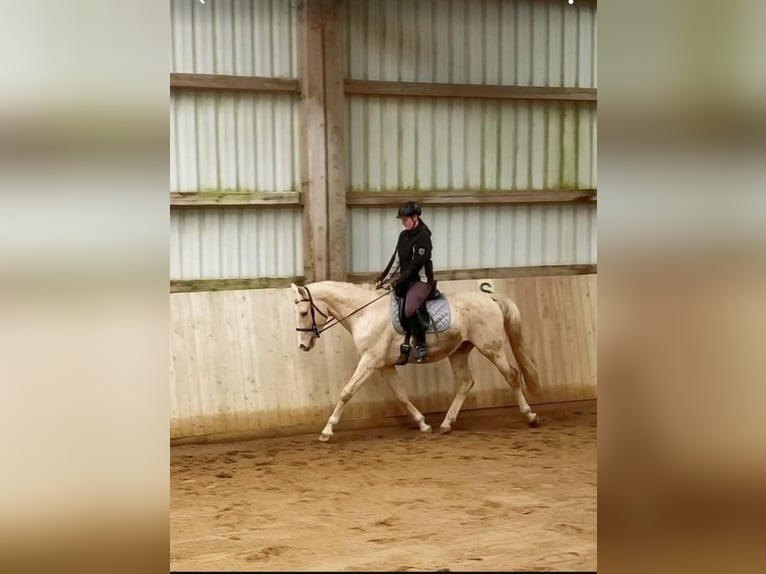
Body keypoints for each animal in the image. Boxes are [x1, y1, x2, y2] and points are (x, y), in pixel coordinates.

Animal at [292, 282, 544, 444]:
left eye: (303, 312)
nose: (302, 345)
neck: (366, 313)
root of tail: (489, 298)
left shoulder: (370, 361)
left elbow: (347, 392)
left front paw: (327, 431)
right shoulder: (384, 366)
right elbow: (401, 395)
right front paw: (423, 424)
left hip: (491, 347)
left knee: (511, 375)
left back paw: (531, 416)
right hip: (459, 351)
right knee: (465, 383)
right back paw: (446, 424)